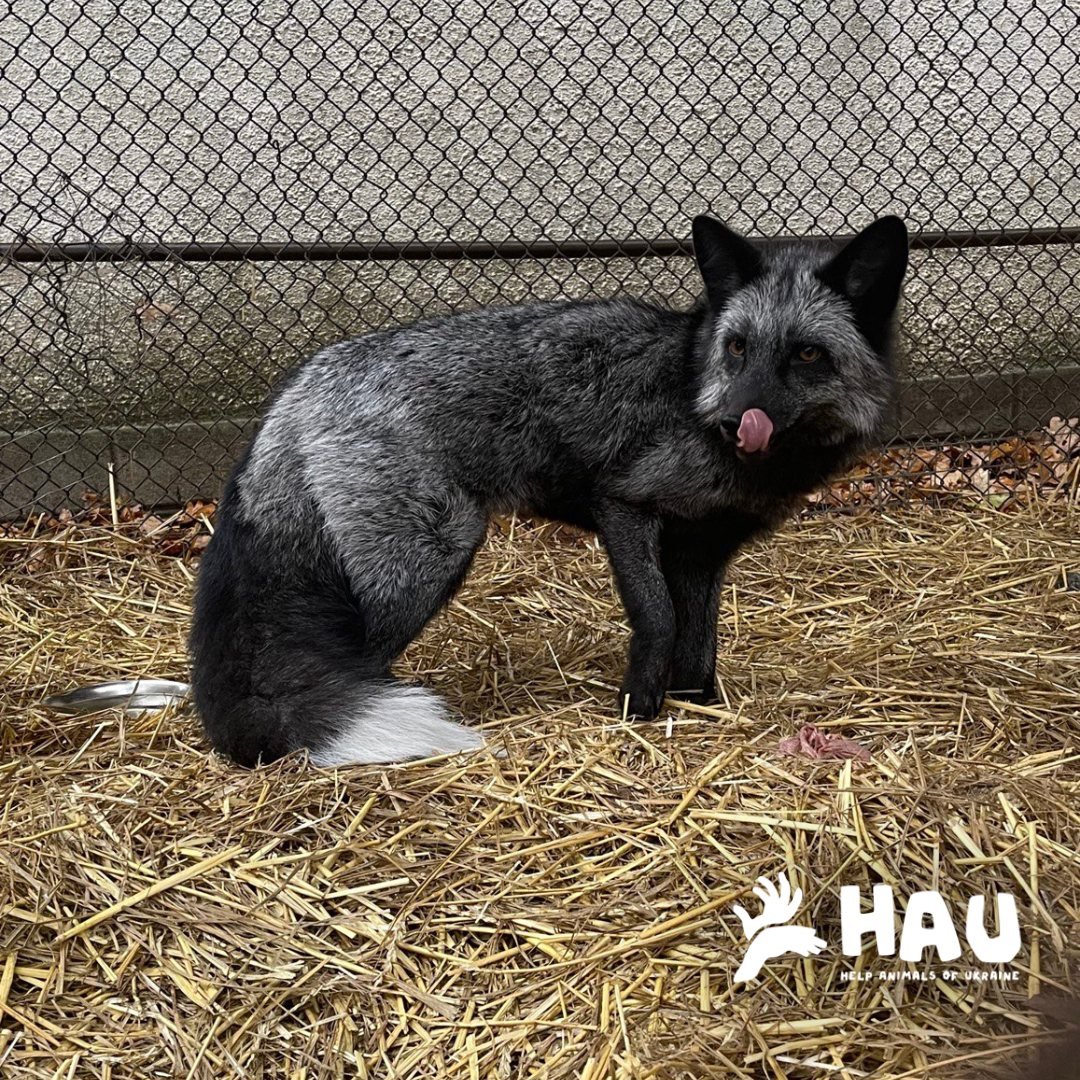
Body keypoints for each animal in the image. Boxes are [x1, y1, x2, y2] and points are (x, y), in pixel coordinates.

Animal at [190, 214, 909, 767]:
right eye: (737, 348)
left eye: (807, 355)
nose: (735, 421)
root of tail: (300, 385)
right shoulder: (625, 507)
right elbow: (658, 619)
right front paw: (638, 710)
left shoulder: (702, 550)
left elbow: (699, 641)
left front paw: (696, 707)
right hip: (428, 562)